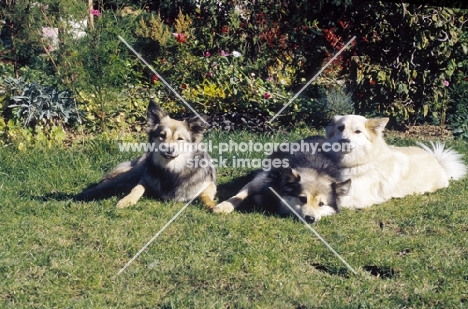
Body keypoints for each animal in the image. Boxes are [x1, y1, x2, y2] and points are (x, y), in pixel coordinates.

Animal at [75, 100, 218, 208]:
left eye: (180, 138)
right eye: (162, 135)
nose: (169, 149)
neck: (172, 170)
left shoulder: (208, 184)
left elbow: (206, 196)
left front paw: (213, 206)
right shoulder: (145, 179)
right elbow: (136, 188)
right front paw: (126, 200)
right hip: (130, 173)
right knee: (103, 184)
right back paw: (82, 194)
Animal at [214, 135, 350, 221]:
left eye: (321, 204)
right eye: (302, 199)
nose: (310, 219)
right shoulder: (262, 179)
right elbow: (240, 195)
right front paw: (224, 206)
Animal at [326, 114, 468, 208]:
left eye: (357, 131)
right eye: (340, 128)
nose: (344, 141)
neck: (361, 161)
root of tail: (437, 161)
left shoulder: (362, 197)